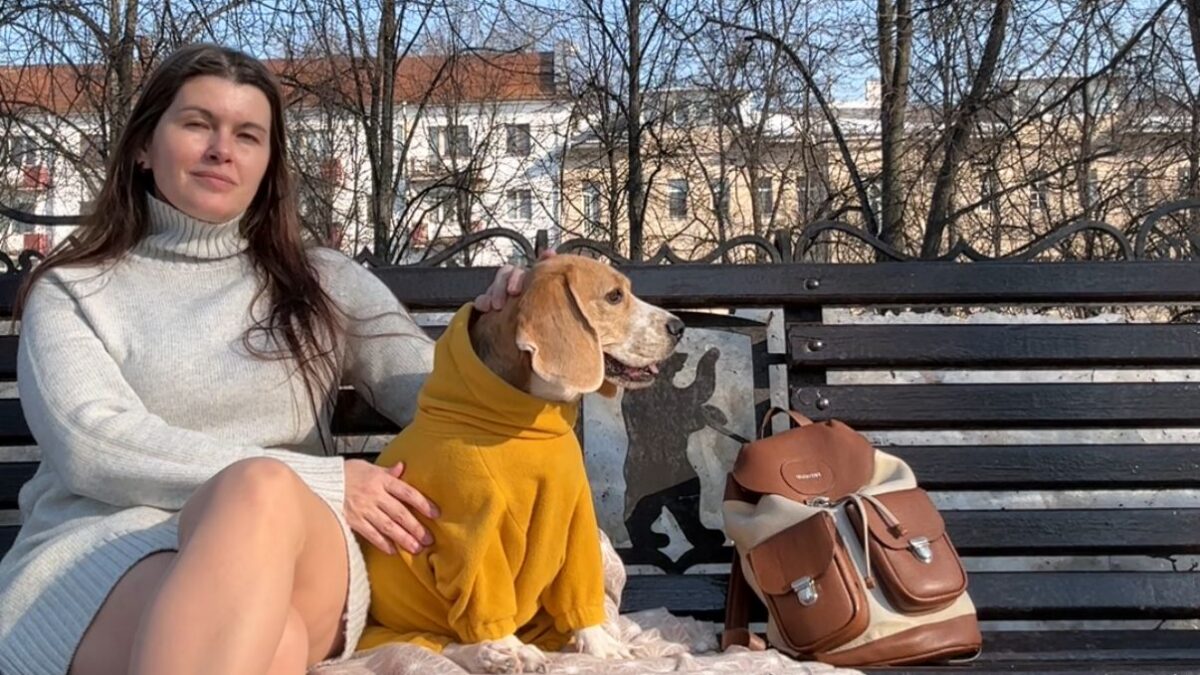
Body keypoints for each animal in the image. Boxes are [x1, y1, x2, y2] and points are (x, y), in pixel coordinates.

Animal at [359, 255, 684, 673]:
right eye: (614, 296)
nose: (679, 326)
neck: (530, 417)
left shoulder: (576, 520)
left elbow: (580, 594)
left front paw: (601, 647)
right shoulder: (474, 537)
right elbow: (483, 603)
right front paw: (506, 647)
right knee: (441, 643)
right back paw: (497, 653)